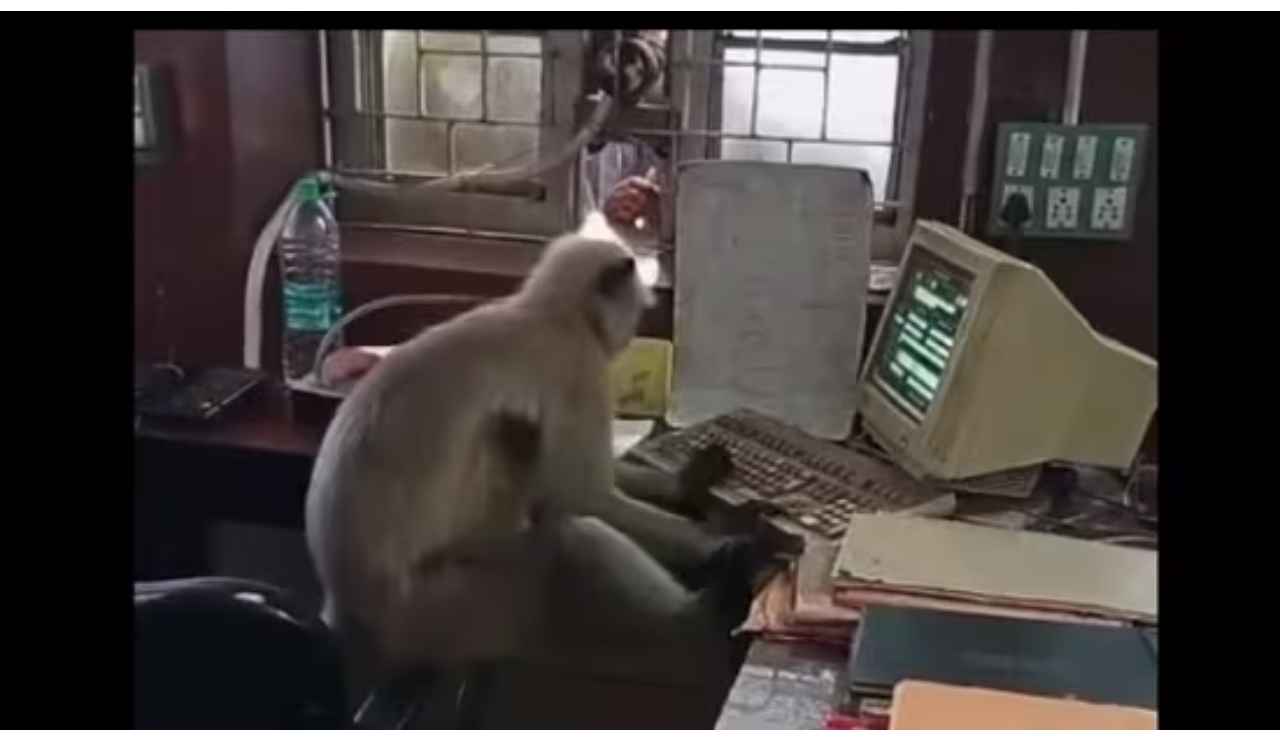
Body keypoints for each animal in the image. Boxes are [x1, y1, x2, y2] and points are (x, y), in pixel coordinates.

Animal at [305, 209, 747, 686]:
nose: (631, 332)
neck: (551, 313)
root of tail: (344, 616)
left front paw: (688, 481)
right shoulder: (582, 369)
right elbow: (584, 493)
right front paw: (716, 538)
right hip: (466, 604)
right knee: (569, 529)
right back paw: (711, 602)